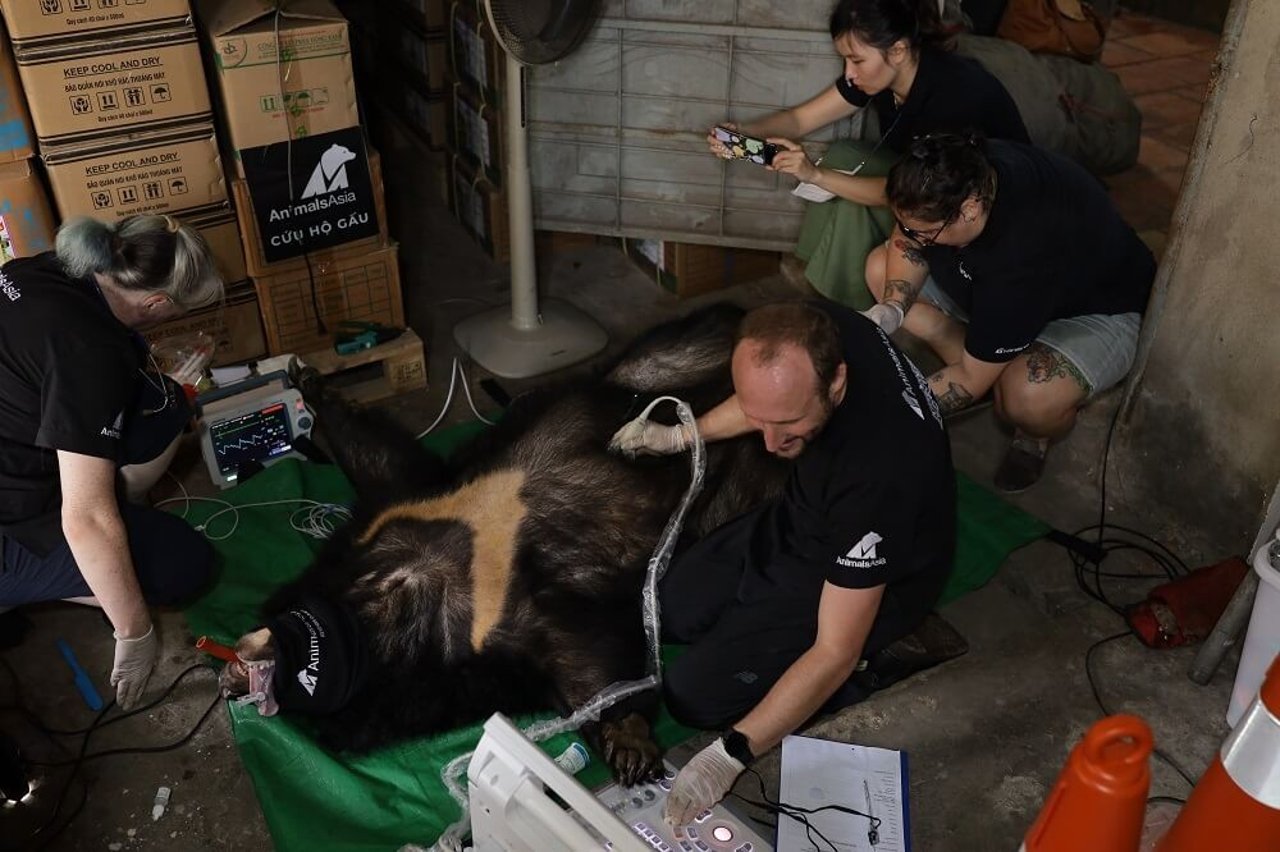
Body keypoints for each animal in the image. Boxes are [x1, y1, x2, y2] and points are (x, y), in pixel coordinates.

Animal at [220, 305, 788, 782]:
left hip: (649, 377)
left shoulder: (408, 503)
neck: (388, 591)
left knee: (697, 340)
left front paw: (308, 378)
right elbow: (581, 656)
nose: (232, 668)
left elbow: (379, 454)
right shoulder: (480, 634)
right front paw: (628, 741)